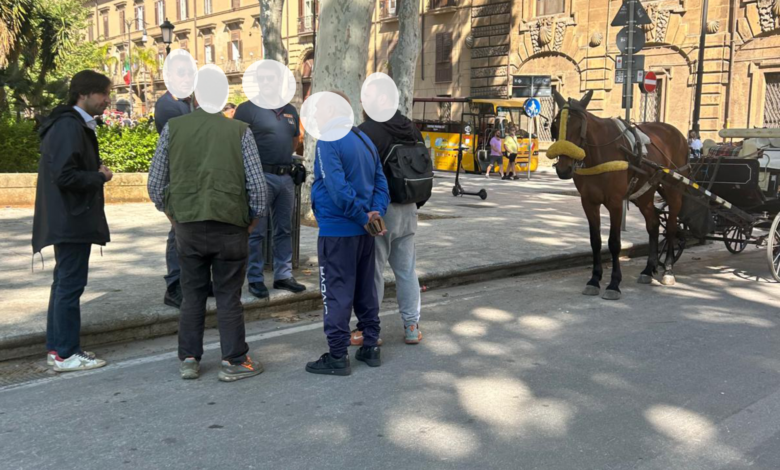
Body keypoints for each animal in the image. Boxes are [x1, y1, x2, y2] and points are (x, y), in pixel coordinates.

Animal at [548, 90, 688, 300]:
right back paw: (648, 269)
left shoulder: (614, 202)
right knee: (653, 224)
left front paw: (614, 283)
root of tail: (677, 134)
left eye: (580, 127)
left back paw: (669, 269)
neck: (598, 154)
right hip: (644, 194)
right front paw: (594, 279)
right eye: (555, 126)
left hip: (673, 190)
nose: (563, 169)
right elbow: (595, 241)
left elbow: (614, 243)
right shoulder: (588, 202)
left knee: (671, 227)